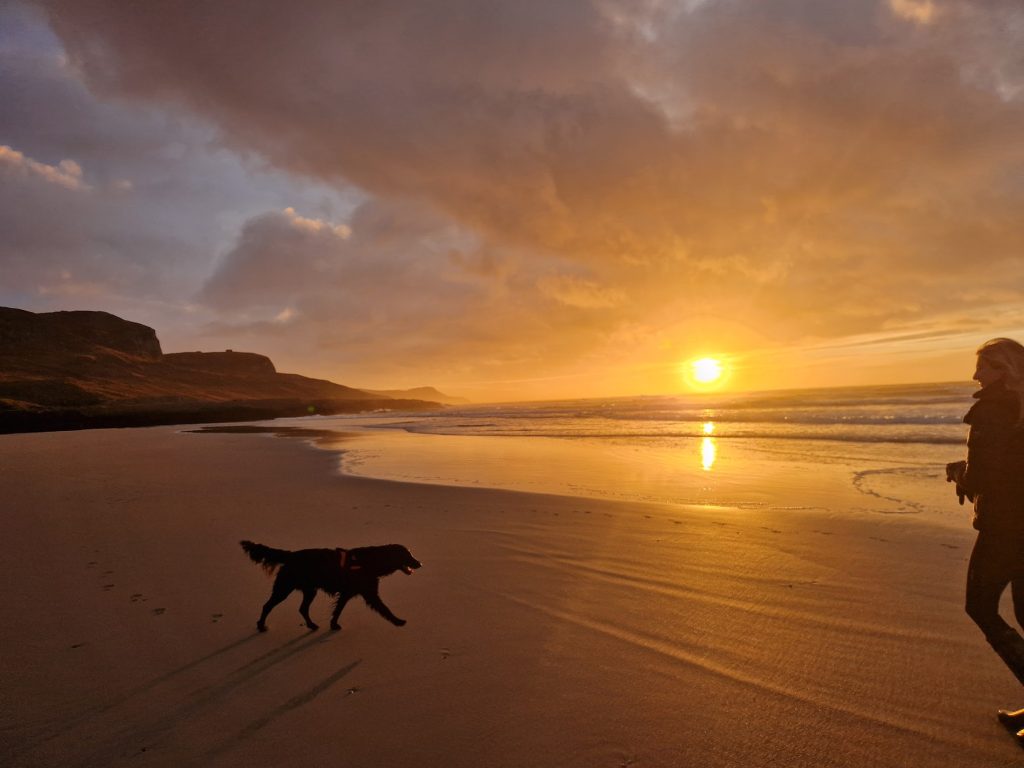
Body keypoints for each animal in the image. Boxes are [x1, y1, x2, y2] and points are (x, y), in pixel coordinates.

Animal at [239, 540, 419, 630]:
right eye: (408, 555)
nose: (420, 563)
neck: (371, 561)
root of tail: (290, 555)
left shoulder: (347, 593)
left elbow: (338, 610)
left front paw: (333, 625)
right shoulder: (370, 594)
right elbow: (385, 608)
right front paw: (398, 621)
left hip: (310, 590)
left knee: (302, 609)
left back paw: (312, 625)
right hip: (284, 588)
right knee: (267, 605)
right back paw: (261, 626)